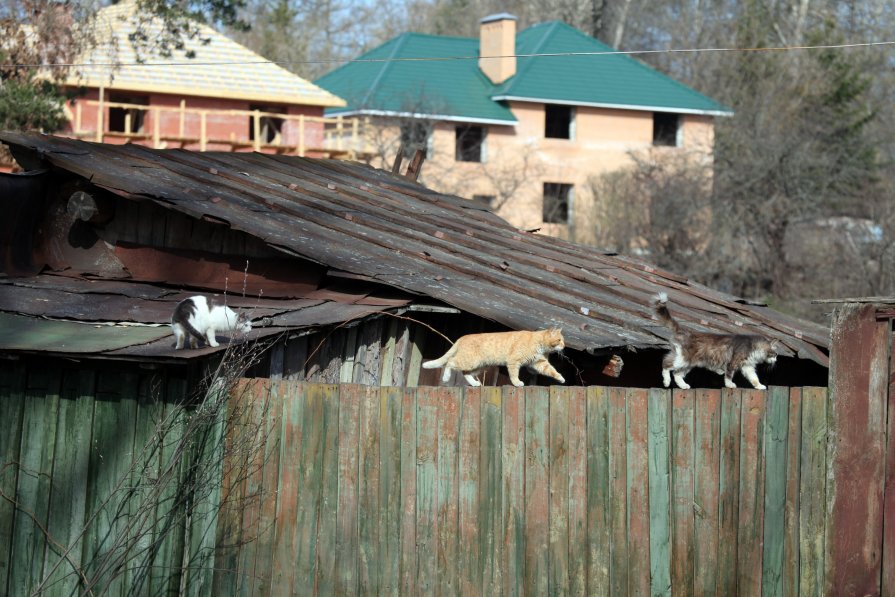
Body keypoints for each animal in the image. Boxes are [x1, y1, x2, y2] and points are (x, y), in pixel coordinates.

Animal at [422, 328, 564, 388]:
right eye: (559, 340)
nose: (564, 346)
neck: (538, 342)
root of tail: (463, 337)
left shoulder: (539, 362)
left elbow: (552, 370)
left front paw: (561, 378)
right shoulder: (513, 361)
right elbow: (514, 375)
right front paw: (517, 383)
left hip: (478, 366)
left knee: (465, 373)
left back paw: (474, 383)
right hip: (470, 361)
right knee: (450, 362)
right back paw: (446, 378)